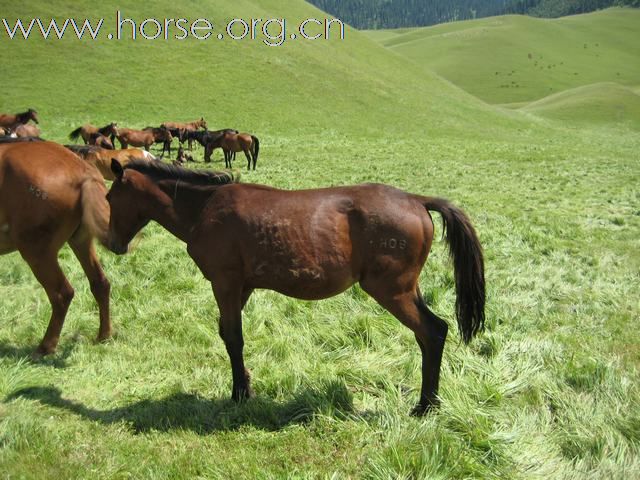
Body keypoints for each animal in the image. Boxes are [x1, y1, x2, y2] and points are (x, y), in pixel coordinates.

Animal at [0, 141, 114, 354]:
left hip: (37, 252)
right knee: (100, 284)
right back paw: (104, 335)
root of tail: (81, 168)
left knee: (62, 294)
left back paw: (46, 347)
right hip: (80, 242)